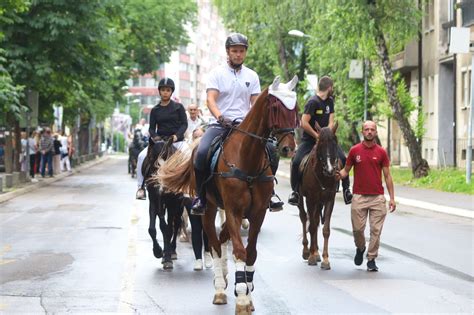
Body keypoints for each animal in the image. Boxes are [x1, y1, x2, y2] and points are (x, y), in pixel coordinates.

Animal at [143, 139, 183, 270]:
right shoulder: (154, 200)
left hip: (179, 205)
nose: (160, 186)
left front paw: (167, 257)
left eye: (169, 159)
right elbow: (155, 228)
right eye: (151, 158)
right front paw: (158, 252)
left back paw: (172, 251)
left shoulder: (173, 203)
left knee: (176, 224)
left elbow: (169, 228)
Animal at [157, 76, 298, 314]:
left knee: (222, 238)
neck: (248, 157)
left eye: (295, 108)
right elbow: (239, 251)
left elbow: (251, 252)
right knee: (214, 243)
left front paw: (247, 292)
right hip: (209, 208)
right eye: (276, 108)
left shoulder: (257, 213)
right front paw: (241, 298)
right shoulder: (233, 210)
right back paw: (220, 288)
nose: (289, 148)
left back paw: (224, 275)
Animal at [298, 122, 338, 270]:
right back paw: (307, 251)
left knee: (314, 219)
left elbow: (325, 229)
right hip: (301, 199)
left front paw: (326, 259)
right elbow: (312, 226)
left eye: (335, 143)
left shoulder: (329, 200)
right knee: (304, 218)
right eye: (320, 144)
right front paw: (310, 256)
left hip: (319, 202)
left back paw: (316, 252)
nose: (330, 170)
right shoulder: (310, 199)